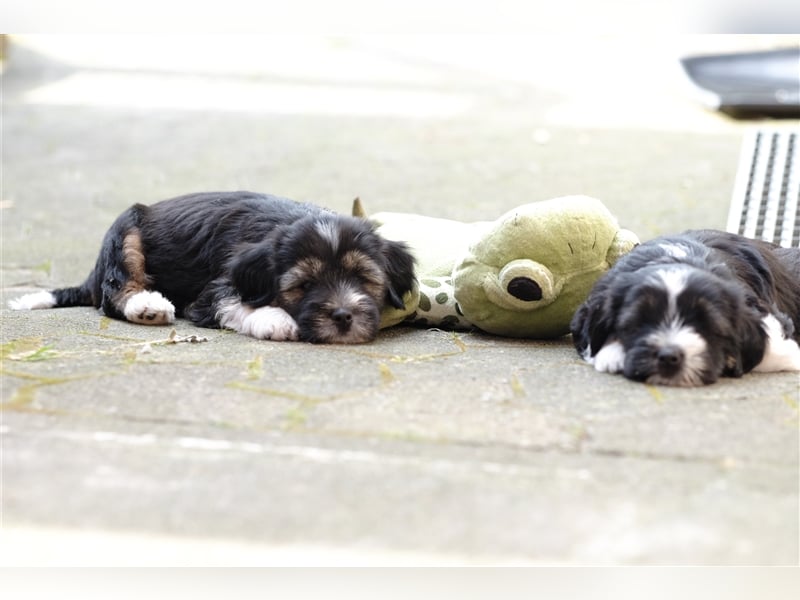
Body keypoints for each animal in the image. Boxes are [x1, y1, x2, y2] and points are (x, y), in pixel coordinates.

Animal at [9, 190, 416, 344]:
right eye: (303, 285)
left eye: (363, 278)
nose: (344, 316)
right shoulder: (210, 294)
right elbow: (236, 302)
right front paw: (275, 320)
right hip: (125, 233)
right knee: (115, 291)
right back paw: (148, 306)